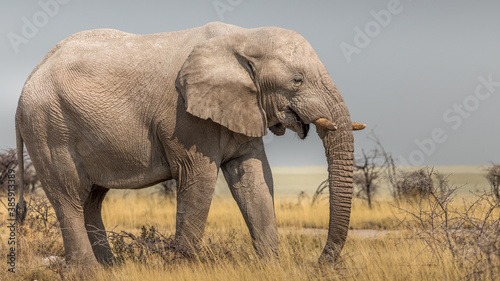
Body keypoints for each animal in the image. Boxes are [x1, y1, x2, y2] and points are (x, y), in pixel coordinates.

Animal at [15, 22, 366, 266]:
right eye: (297, 81)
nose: (321, 263)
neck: (243, 38)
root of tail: (28, 78)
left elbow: (254, 179)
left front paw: (271, 267)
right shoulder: (183, 118)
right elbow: (199, 178)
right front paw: (182, 267)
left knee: (92, 198)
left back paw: (110, 268)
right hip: (48, 128)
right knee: (70, 196)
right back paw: (89, 271)